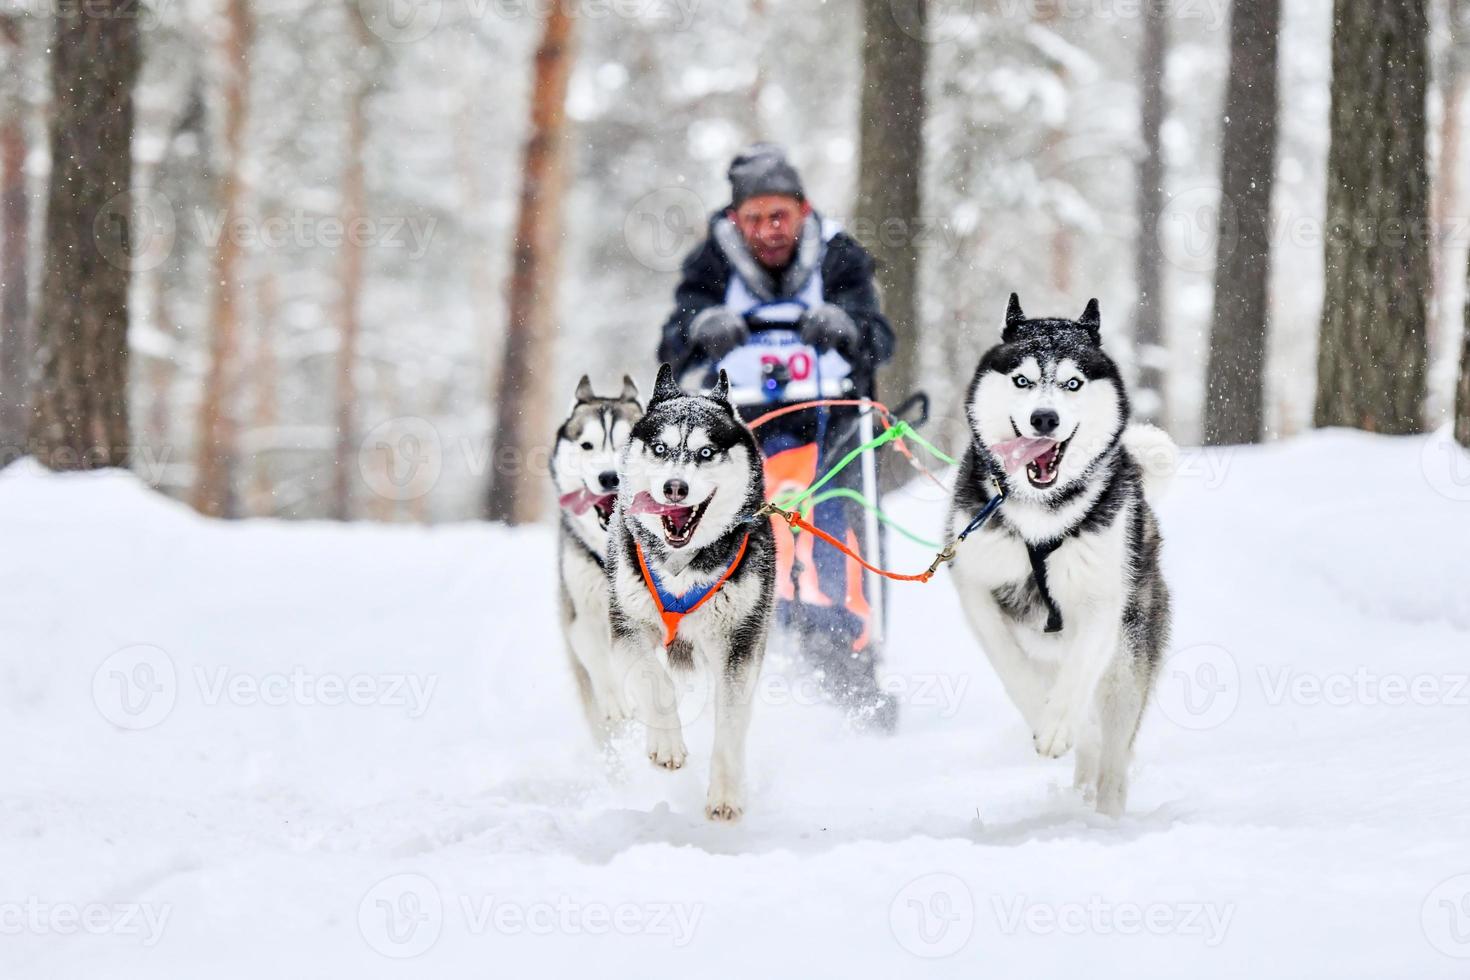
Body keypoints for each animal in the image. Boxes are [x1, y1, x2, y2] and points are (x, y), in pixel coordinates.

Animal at [602, 364, 776, 822]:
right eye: (661, 448)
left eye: (705, 452)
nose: (675, 487)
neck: (682, 569)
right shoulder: (627, 629)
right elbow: (654, 680)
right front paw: (665, 743)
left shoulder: (739, 645)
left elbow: (730, 723)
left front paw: (726, 793)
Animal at [946, 295, 1176, 816]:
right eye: (1022, 380)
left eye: (1073, 383)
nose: (1044, 419)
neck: (1040, 517)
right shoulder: (976, 589)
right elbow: (1013, 668)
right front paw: (1043, 719)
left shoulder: (1100, 605)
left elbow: (1077, 677)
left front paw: (1054, 728)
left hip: (1127, 658)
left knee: (1113, 749)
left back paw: (1104, 812)